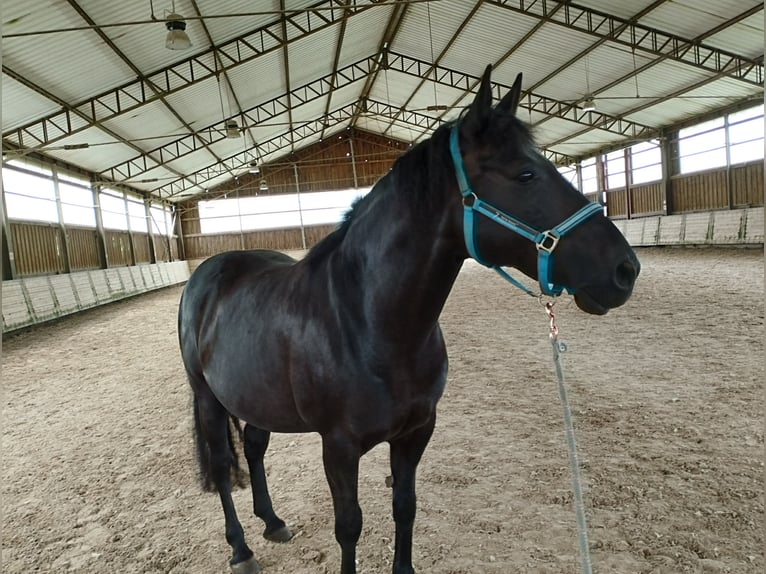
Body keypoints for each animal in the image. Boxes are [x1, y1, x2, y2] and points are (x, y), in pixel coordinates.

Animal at [180, 65, 640, 572]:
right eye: (525, 174)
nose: (625, 269)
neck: (370, 325)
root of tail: (210, 272)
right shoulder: (339, 447)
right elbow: (349, 526)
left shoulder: (416, 433)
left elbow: (405, 506)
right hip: (207, 398)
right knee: (223, 467)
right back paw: (241, 548)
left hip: (255, 396)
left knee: (255, 447)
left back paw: (273, 521)